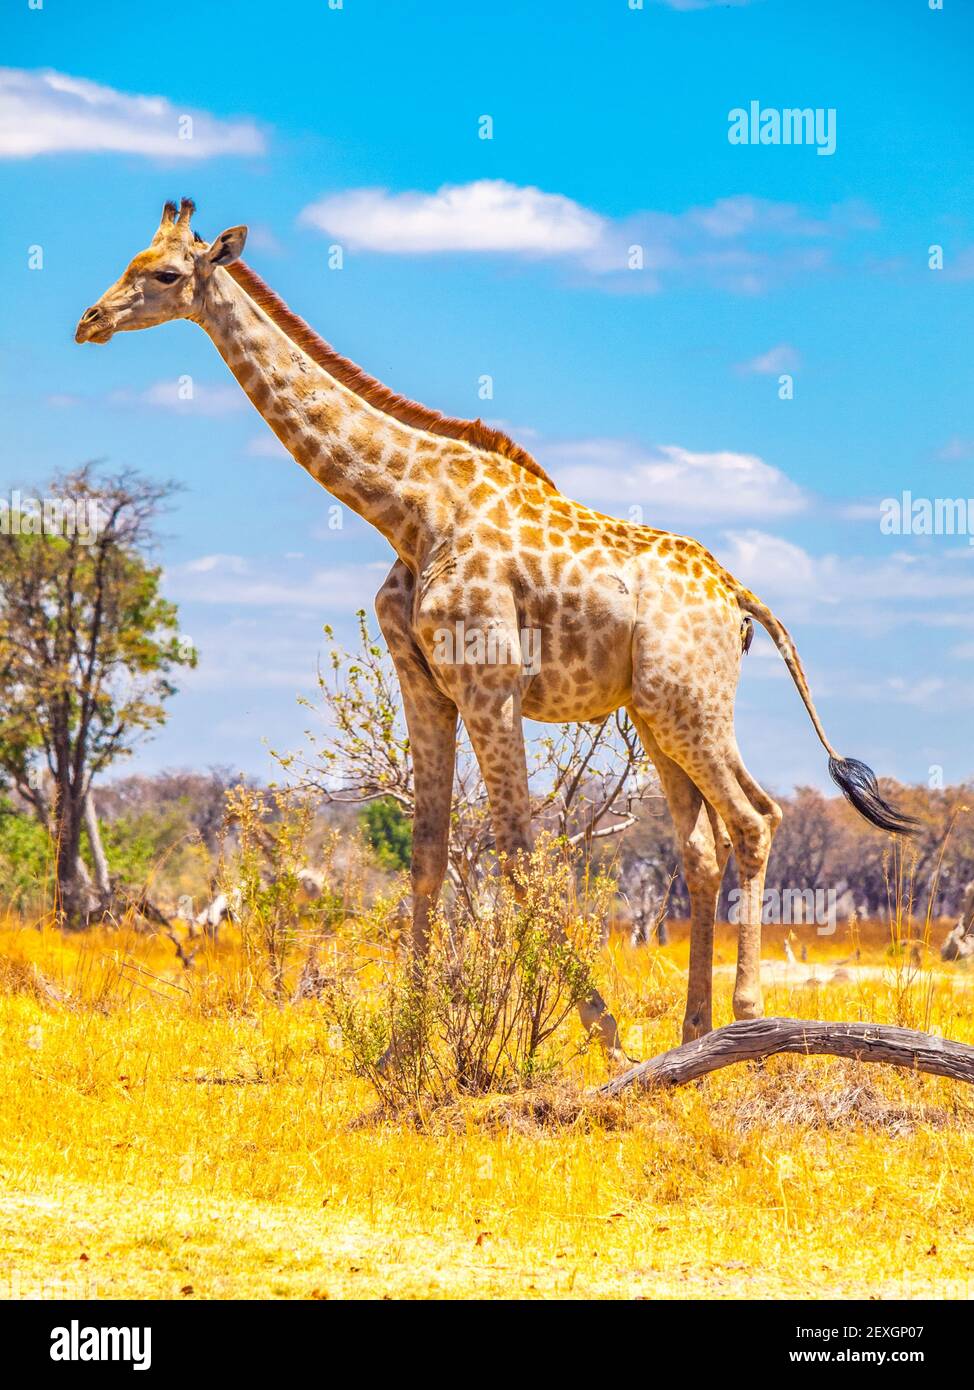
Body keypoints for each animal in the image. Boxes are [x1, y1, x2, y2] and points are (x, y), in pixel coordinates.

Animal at [73, 201, 911, 1045]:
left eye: (164, 274)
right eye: (129, 261)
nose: (89, 320)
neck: (406, 507)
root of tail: (739, 596)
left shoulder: (490, 681)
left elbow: (515, 848)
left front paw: (601, 1030)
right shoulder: (425, 683)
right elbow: (427, 850)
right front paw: (408, 1034)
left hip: (691, 703)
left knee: (755, 818)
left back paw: (746, 1022)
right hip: (654, 714)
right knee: (700, 844)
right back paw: (694, 1031)